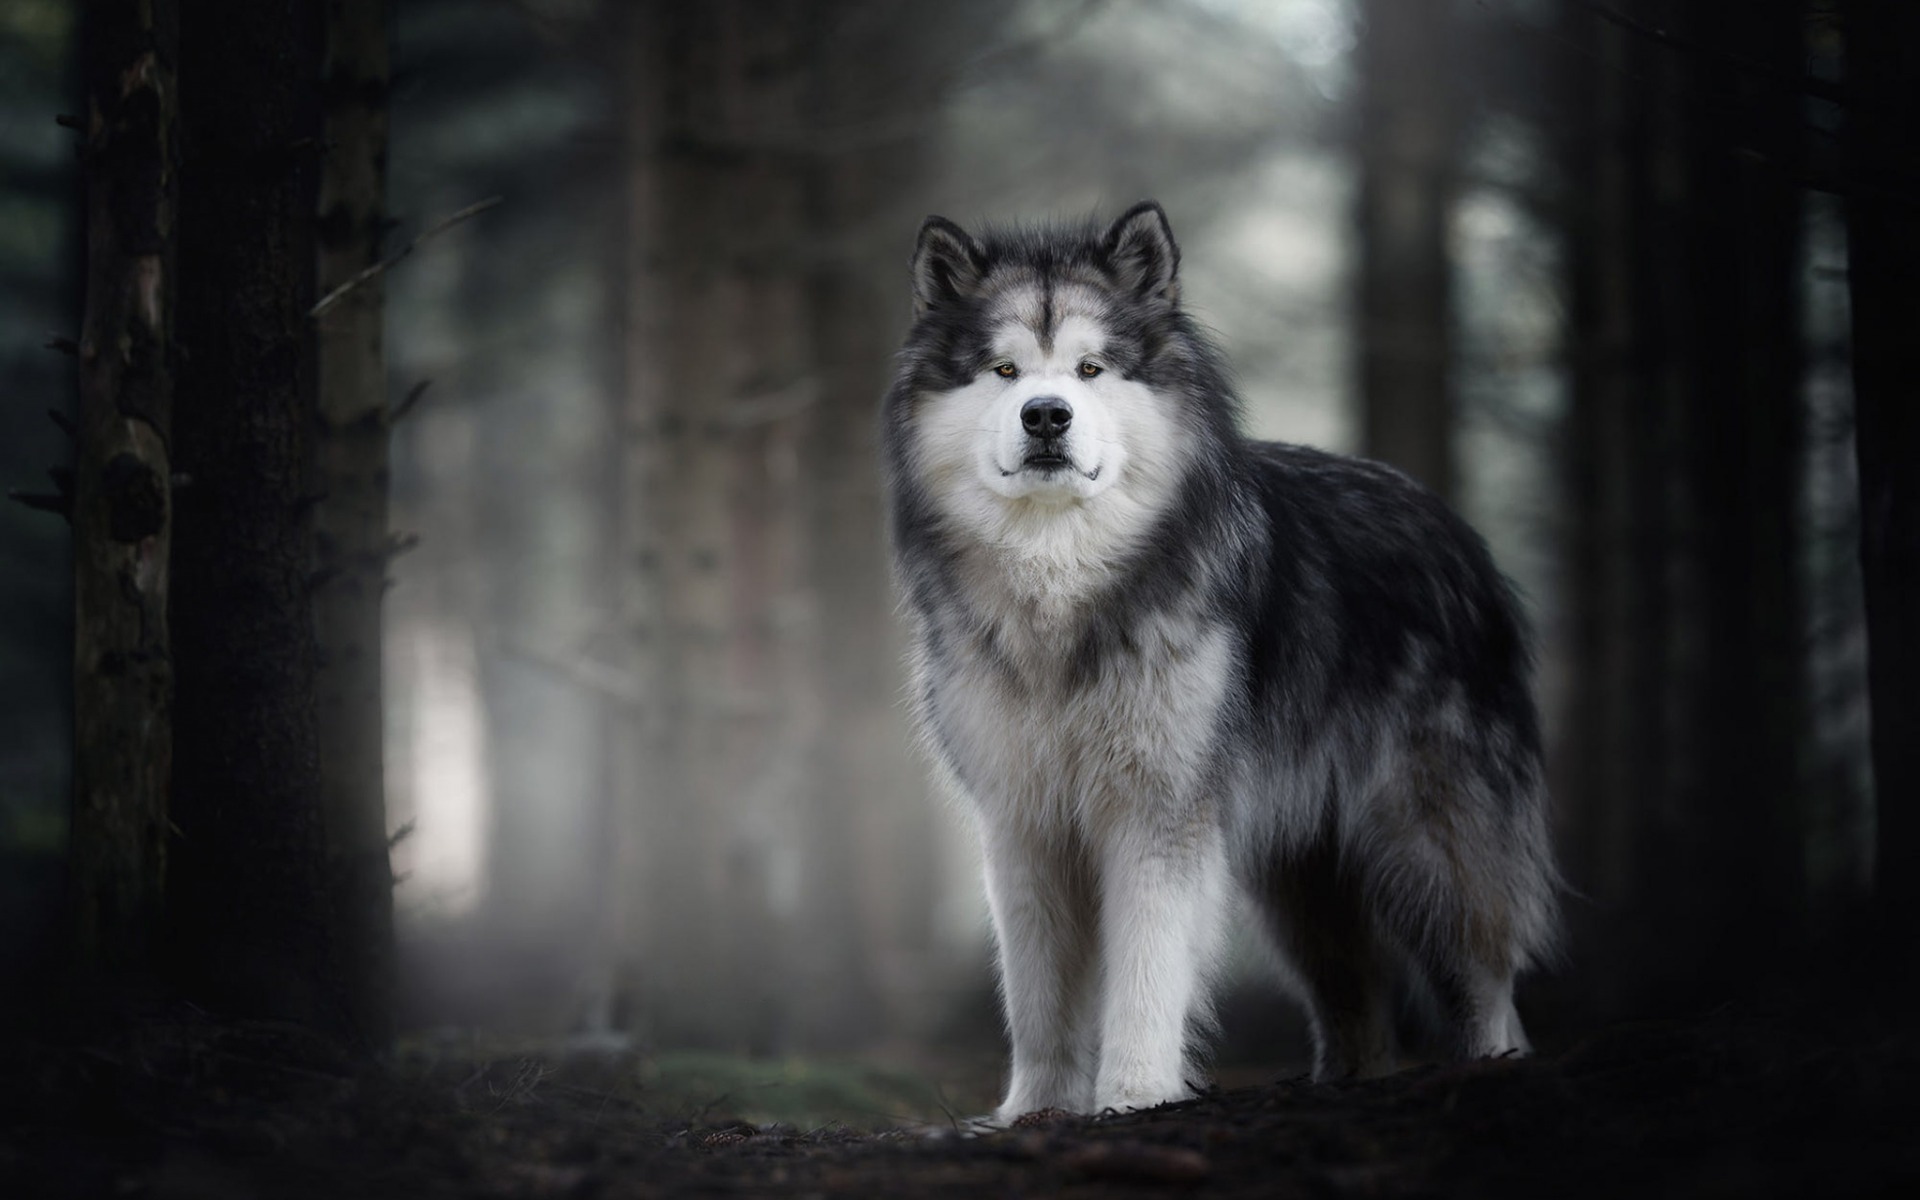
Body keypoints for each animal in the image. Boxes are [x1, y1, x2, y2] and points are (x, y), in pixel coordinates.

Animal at [881, 201, 1558, 1123]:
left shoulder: (1158, 811)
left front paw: (1133, 1098)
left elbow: (1147, 969)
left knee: (1485, 975)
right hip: (1302, 887)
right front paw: (1034, 1113)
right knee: (1358, 1006)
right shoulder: (1024, 822)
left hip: (1432, 843)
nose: (1046, 415)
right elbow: (1036, 993)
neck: (1062, 590)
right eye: (1004, 369)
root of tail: (1455, 530)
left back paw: (1494, 1066)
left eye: (1091, 368)